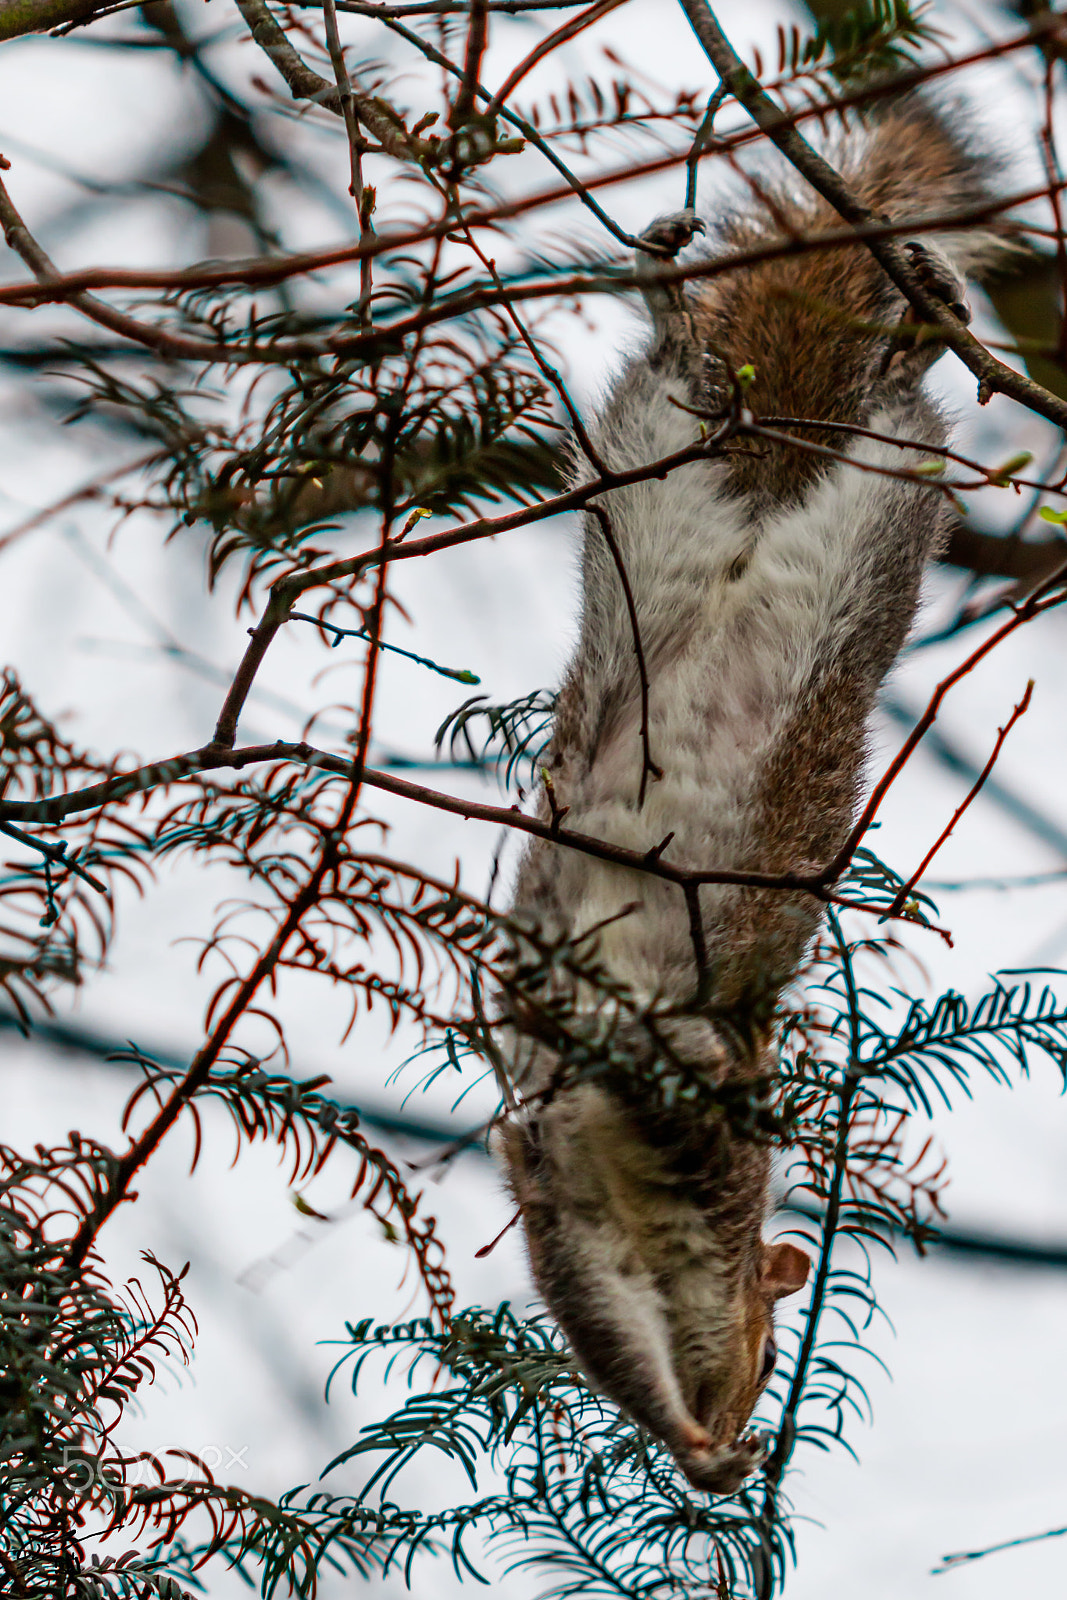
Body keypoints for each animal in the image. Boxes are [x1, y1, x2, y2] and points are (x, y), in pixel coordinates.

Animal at [498, 100, 1003, 1494]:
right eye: (777, 1345)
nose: (736, 1427)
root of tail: (759, 451)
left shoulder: (573, 1189)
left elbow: (597, 1306)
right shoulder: (635, 1173)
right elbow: (612, 1297)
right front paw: (695, 1442)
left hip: (814, 478)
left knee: (845, 399)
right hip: (710, 463)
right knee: (860, 393)